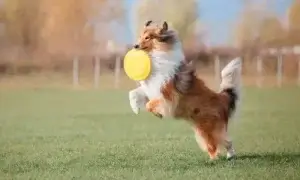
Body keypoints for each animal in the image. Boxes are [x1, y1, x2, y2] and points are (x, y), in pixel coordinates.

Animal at [131, 20, 241, 160]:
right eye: (140, 36)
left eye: (147, 37)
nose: (135, 46)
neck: (156, 56)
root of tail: (220, 98)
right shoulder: (151, 88)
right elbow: (133, 93)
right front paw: (135, 108)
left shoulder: (167, 95)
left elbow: (149, 104)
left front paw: (158, 114)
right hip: (202, 129)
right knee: (219, 143)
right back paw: (222, 157)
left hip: (207, 128)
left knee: (221, 142)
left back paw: (220, 158)